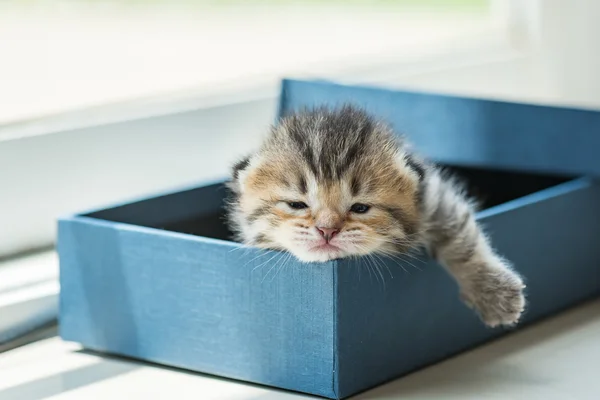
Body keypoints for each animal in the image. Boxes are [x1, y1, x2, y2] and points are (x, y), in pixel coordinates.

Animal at [227, 104, 528, 326]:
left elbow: (461, 239)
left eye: (360, 208)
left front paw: (495, 294)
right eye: (296, 204)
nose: (327, 230)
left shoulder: (434, 197)